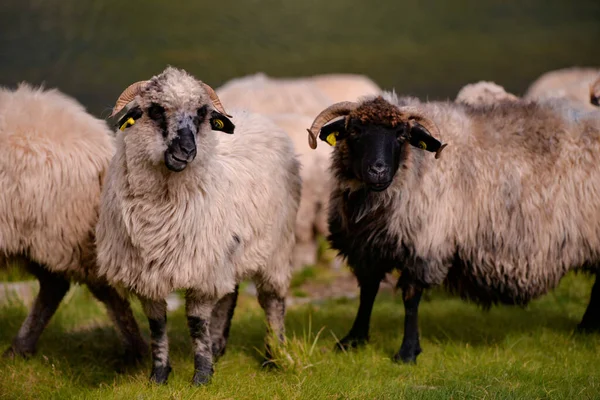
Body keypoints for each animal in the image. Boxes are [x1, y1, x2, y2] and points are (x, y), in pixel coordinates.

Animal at [96, 67, 302, 386]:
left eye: (202, 114)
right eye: (155, 110)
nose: (187, 150)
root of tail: (261, 119)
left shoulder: (202, 271)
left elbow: (196, 323)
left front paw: (202, 375)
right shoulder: (147, 274)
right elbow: (157, 325)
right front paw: (159, 375)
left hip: (276, 248)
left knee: (273, 302)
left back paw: (274, 355)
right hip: (229, 252)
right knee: (230, 294)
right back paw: (219, 347)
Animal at [304, 91, 600, 366]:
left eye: (401, 136)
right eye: (354, 131)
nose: (378, 171)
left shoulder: (425, 242)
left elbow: (411, 298)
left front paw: (407, 352)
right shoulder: (366, 247)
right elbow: (367, 292)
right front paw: (353, 340)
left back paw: (586, 329)